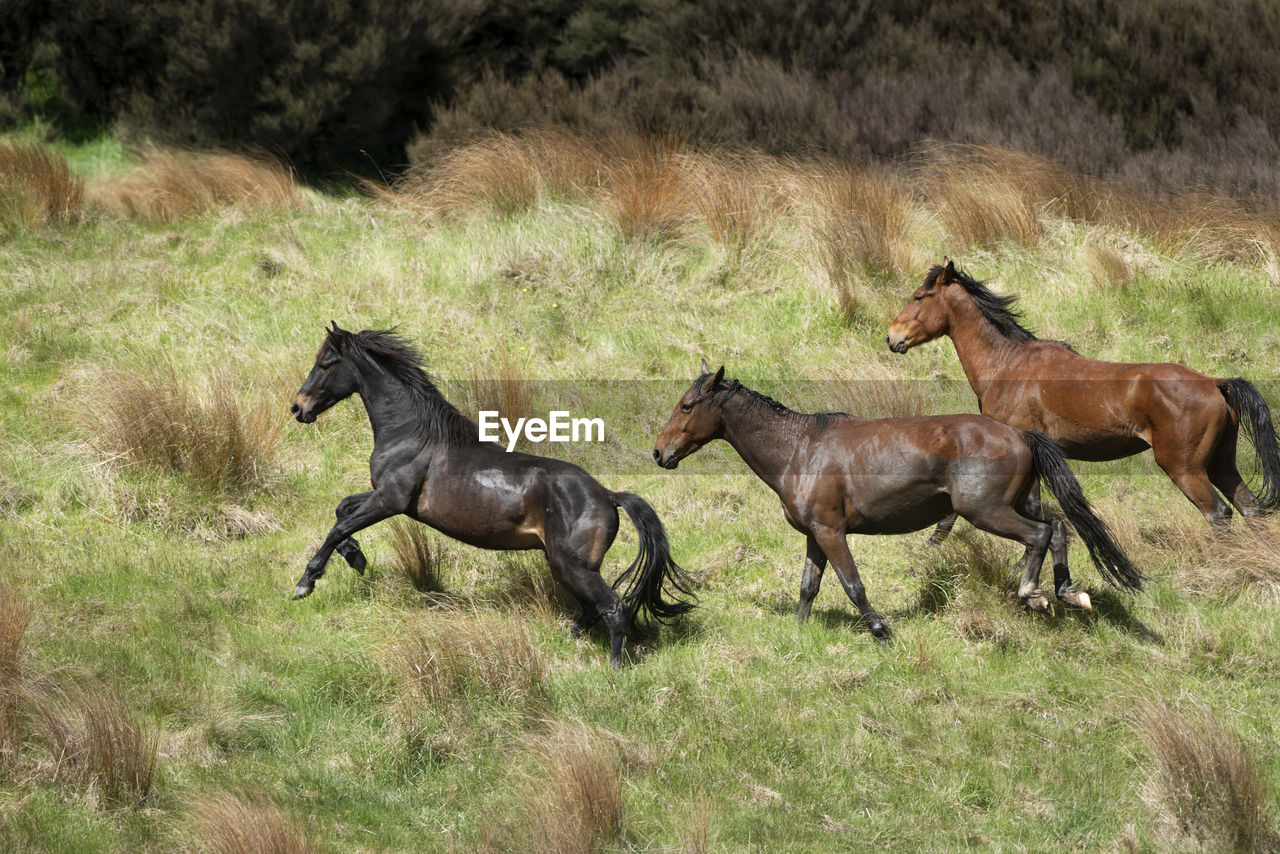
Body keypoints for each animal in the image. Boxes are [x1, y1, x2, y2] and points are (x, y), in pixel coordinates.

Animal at [290, 323, 696, 665]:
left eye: (325, 363)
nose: (298, 407)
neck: (411, 433)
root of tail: (608, 494)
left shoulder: (391, 500)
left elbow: (338, 527)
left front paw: (305, 583)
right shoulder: (384, 498)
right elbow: (342, 510)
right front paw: (356, 558)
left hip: (573, 565)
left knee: (613, 607)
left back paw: (614, 667)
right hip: (565, 565)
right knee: (593, 609)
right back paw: (568, 637)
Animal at [650, 361, 1141, 635]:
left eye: (687, 406)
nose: (659, 452)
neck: (800, 448)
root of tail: (1019, 434)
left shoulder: (832, 532)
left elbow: (852, 584)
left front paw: (880, 628)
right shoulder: (815, 534)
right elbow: (808, 586)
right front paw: (797, 632)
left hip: (987, 511)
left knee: (1039, 535)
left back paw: (1032, 593)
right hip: (1018, 504)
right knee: (1057, 528)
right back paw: (1067, 591)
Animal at [885, 261, 1280, 550]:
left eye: (919, 297)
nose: (892, 338)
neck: (1006, 365)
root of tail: (1215, 383)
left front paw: (933, 543)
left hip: (1186, 469)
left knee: (1219, 514)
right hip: (1221, 464)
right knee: (1250, 508)